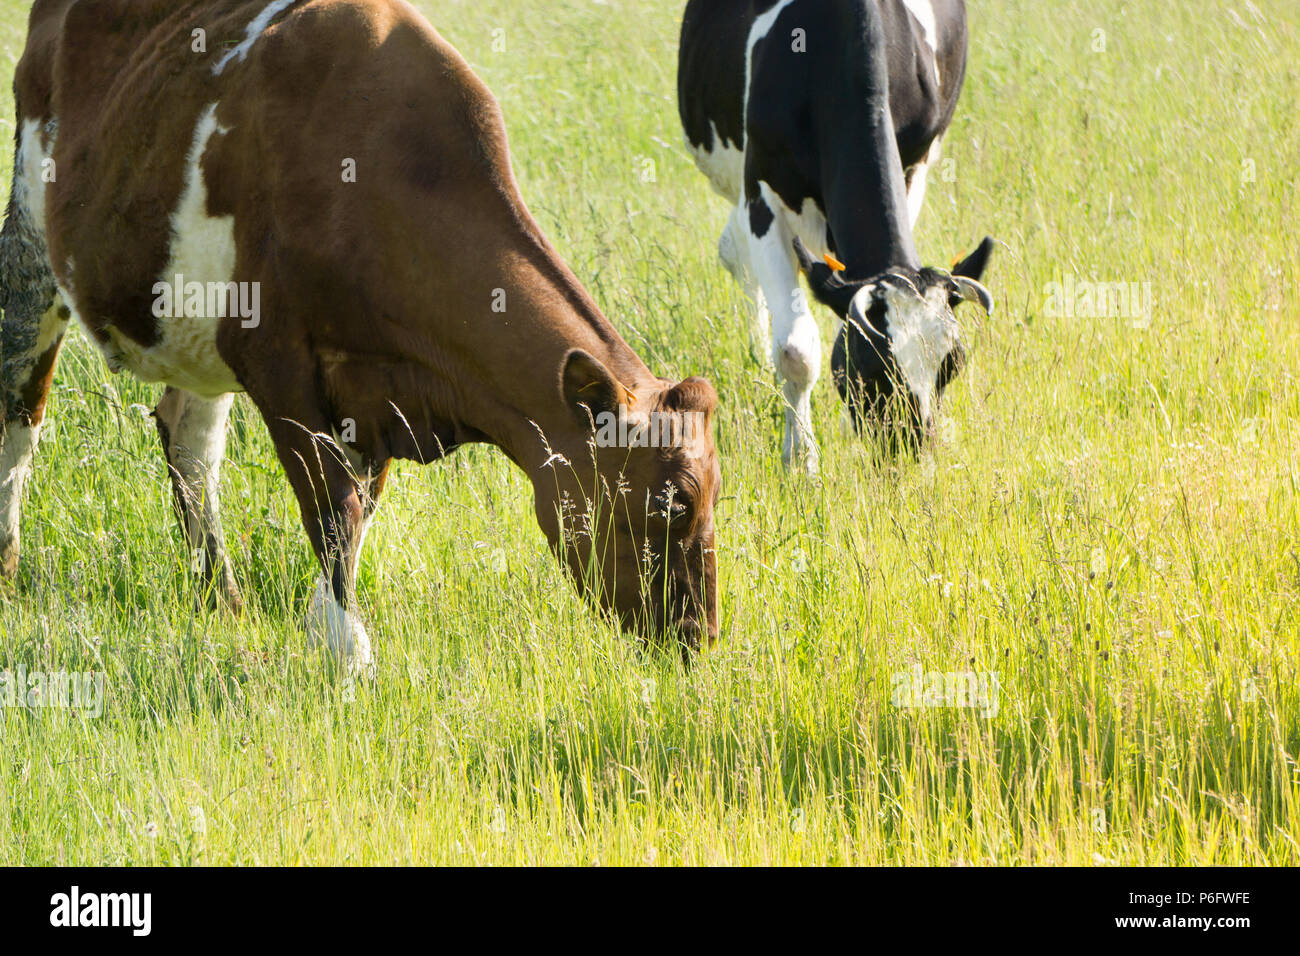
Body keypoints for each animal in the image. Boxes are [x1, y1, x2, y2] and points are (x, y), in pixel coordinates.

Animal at [0, 0, 722, 673]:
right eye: (672, 506)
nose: (701, 638)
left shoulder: (376, 397)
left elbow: (356, 510)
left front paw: (325, 629)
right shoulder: (277, 360)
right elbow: (331, 509)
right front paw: (347, 654)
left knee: (190, 444)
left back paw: (222, 599)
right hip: (32, 234)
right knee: (21, 415)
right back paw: (8, 572)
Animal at [678, 0, 995, 470]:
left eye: (951, 365)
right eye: (868, 369)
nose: (912, 453)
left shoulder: (914, 168)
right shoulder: (761, 191)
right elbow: (795, 349)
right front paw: (801, 460)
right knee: (737, 255)